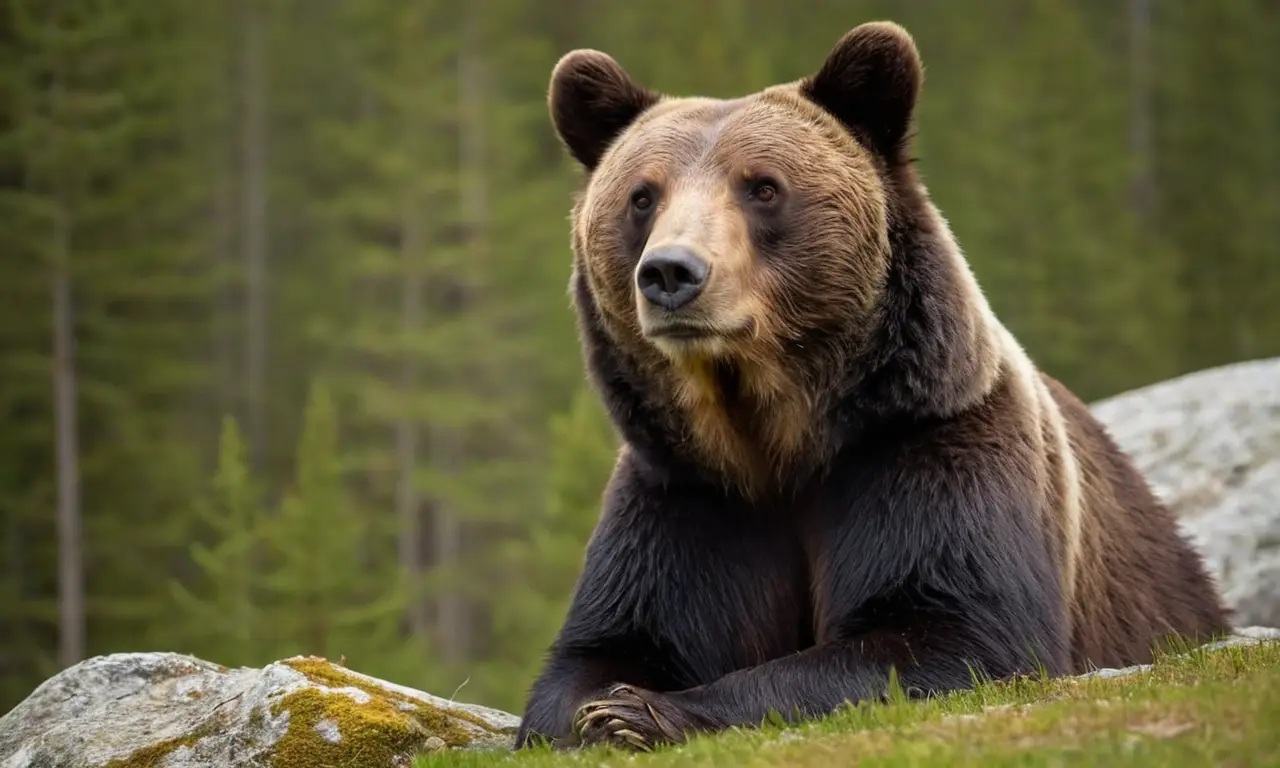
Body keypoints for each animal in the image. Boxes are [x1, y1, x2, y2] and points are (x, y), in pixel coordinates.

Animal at [515, 20, 1231, 752]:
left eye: (762, 186)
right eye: (642, 195)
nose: (670, 273)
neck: (772, 435)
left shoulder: (924, 445)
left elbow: (948, 631)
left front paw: (641, 712)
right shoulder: (687, 495)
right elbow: (605, 648)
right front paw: (604, 706)